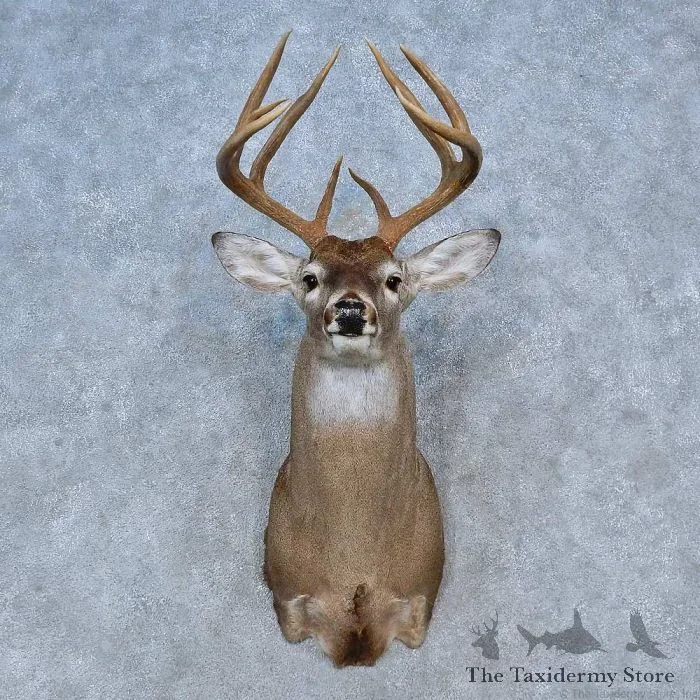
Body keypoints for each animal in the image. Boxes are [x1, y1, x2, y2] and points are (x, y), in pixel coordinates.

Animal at [211, 32, 500, 667]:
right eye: (310, 277)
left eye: (394, 279)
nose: (348, 309)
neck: (353, 557)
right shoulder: (288, 594)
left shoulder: (419, 596)